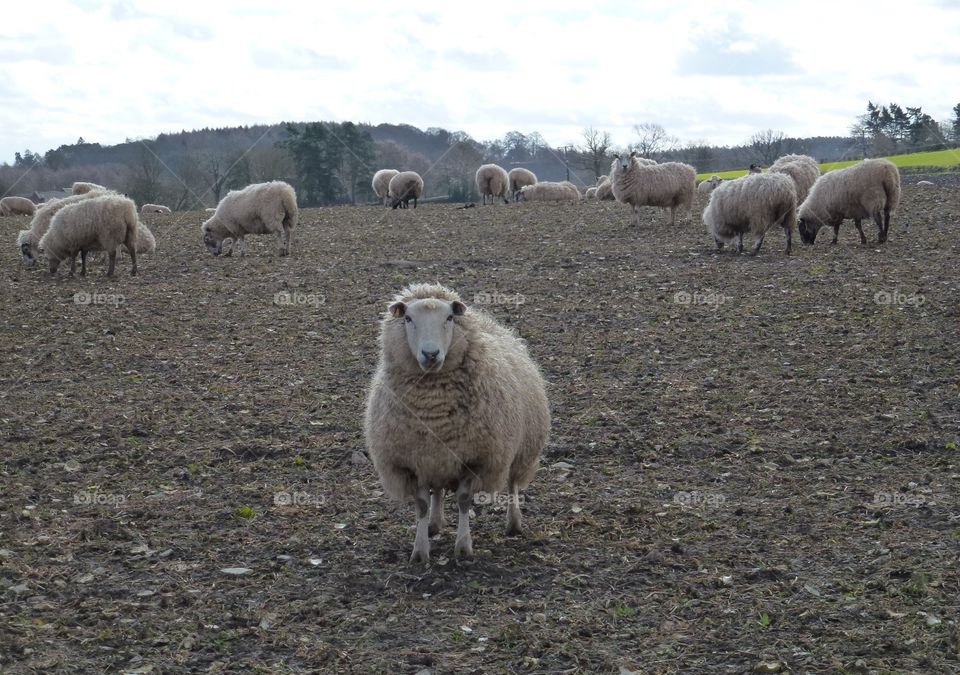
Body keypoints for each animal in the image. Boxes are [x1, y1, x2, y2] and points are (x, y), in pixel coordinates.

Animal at [364, 283, 550, 563]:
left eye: (449, 318)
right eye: (408, 319)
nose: (431, 354)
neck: (434, 410)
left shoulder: (476, 458)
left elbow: (463, 500)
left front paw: (463, 547)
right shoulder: (413, 461)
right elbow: (421, 504)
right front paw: (420, 551)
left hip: (520, 450)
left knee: (513, 484)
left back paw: (514, 523)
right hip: (438, 458)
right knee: (438, 490)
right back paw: (434, 523)